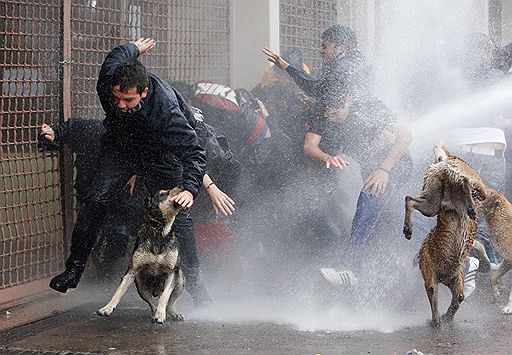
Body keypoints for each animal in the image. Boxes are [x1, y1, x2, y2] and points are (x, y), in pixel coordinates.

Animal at [97, 188, 185, 324]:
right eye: (162, 194)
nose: (181, 186)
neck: (159, 232)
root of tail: (155, 290)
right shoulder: (131, 272)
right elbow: (118, 291)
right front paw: (107, 308)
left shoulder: (172, 272)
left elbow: (164, 297)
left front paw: (161, 315)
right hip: (141, 287)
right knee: (152, 304)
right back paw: (155, 314)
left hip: (180, 280)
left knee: (169, 303)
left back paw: (171, 313)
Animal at [402, 143, 486, 328]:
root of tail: (447, 157)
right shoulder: (436, 279)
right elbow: (450, 302)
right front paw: (441, 319)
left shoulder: (449, 281)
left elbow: (454, 300)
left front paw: (443, 318)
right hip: (434, 202)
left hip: (433, 202)